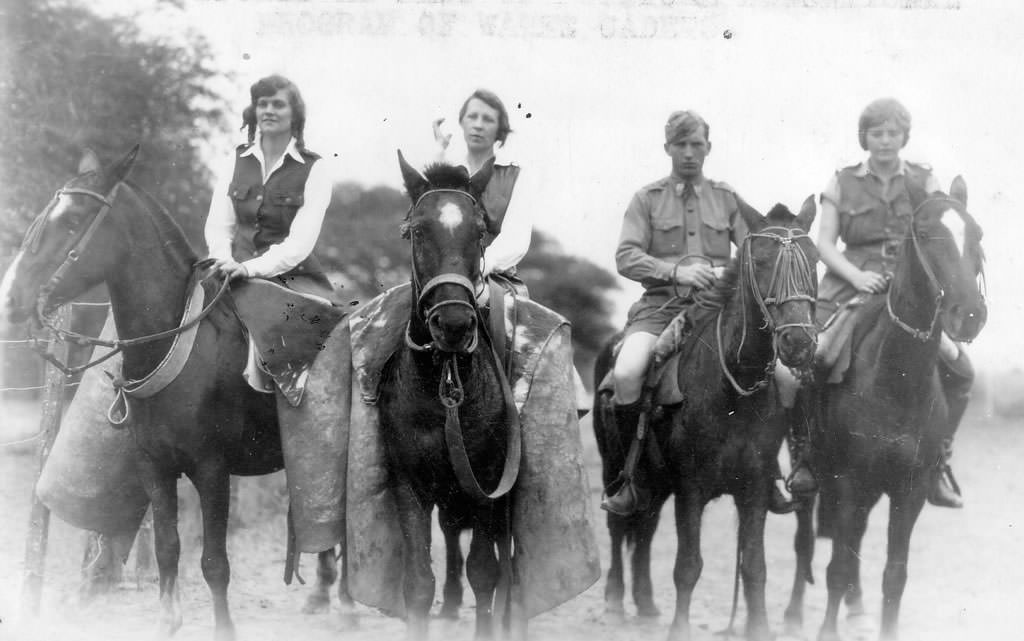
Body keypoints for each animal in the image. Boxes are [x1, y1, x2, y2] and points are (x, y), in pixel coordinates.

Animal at [0, 146, 280, 638]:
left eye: (73, 221)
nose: (11, 298)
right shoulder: (156, 468)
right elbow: (168, 548)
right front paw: (167, 623)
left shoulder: (212, 469)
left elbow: (214, 563)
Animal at [380, 150, 532, 638]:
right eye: (416, 231)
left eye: (480, 231)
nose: (453, 324)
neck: (441, 385)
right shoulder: (409, 485)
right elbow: (418, 584)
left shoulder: (486, 482)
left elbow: (484, 573)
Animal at [593, 195, 815, 638]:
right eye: (761, 261)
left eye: (815, 260)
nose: (799, 341)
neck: (734, 388)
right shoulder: (691, 488)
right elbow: (688, 566)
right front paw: (679, 628)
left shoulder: (753, 488)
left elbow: (754, 566)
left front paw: (759, 627)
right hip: (616, 469)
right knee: (619, 526)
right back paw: (614, 602)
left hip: (657, 481)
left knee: (645, 528)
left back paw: (646, 604)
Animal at [778, 176, 987, 638]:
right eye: (925, 233)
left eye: (977, 234)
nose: (970, 314)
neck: (896, 381)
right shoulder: (847, 481)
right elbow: (837, 566)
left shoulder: (909, 491)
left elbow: (894, 575)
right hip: (819, 480)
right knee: (805, 543)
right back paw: (793, 615)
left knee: (852, 542)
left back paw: (856, 609)